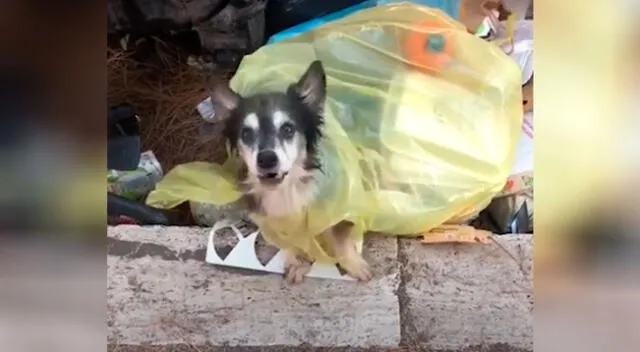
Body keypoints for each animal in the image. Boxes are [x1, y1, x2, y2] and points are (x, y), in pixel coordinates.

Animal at [210, 60, 370, 284]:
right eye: (246, 133)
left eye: (287, 129)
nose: (267, 159)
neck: (286, 191)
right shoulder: (270, 221)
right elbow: (290, 242)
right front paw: (297, 261)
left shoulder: (338, 209)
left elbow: (341, 239)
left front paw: (354, 265)